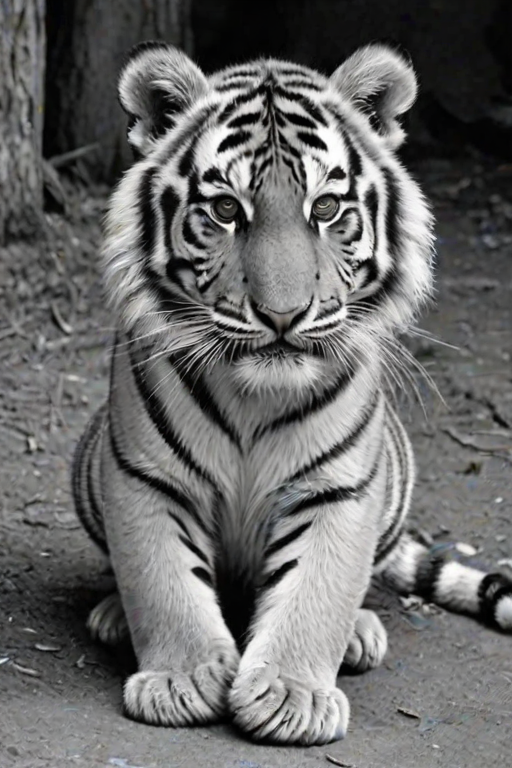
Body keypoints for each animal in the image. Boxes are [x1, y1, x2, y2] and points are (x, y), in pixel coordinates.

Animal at [72, 41, 512, 745]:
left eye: (325, 209)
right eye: (226, 211)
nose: (283, 315)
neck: (256, 397)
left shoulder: (341, 487)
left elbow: (317, 590)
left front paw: (291, 696)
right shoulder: (144, 475)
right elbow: (161, 578)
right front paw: (180, 679)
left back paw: (360, 634)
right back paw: (112, 615)